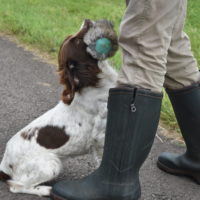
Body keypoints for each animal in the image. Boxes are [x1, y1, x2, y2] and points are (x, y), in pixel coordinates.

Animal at [0, 19, 118, 197]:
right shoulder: (100, 136)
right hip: (52, 164)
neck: (94, 84)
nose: (87, 20)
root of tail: (3, 167)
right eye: (77, 42)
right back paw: (46, 190)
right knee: (17, 186)